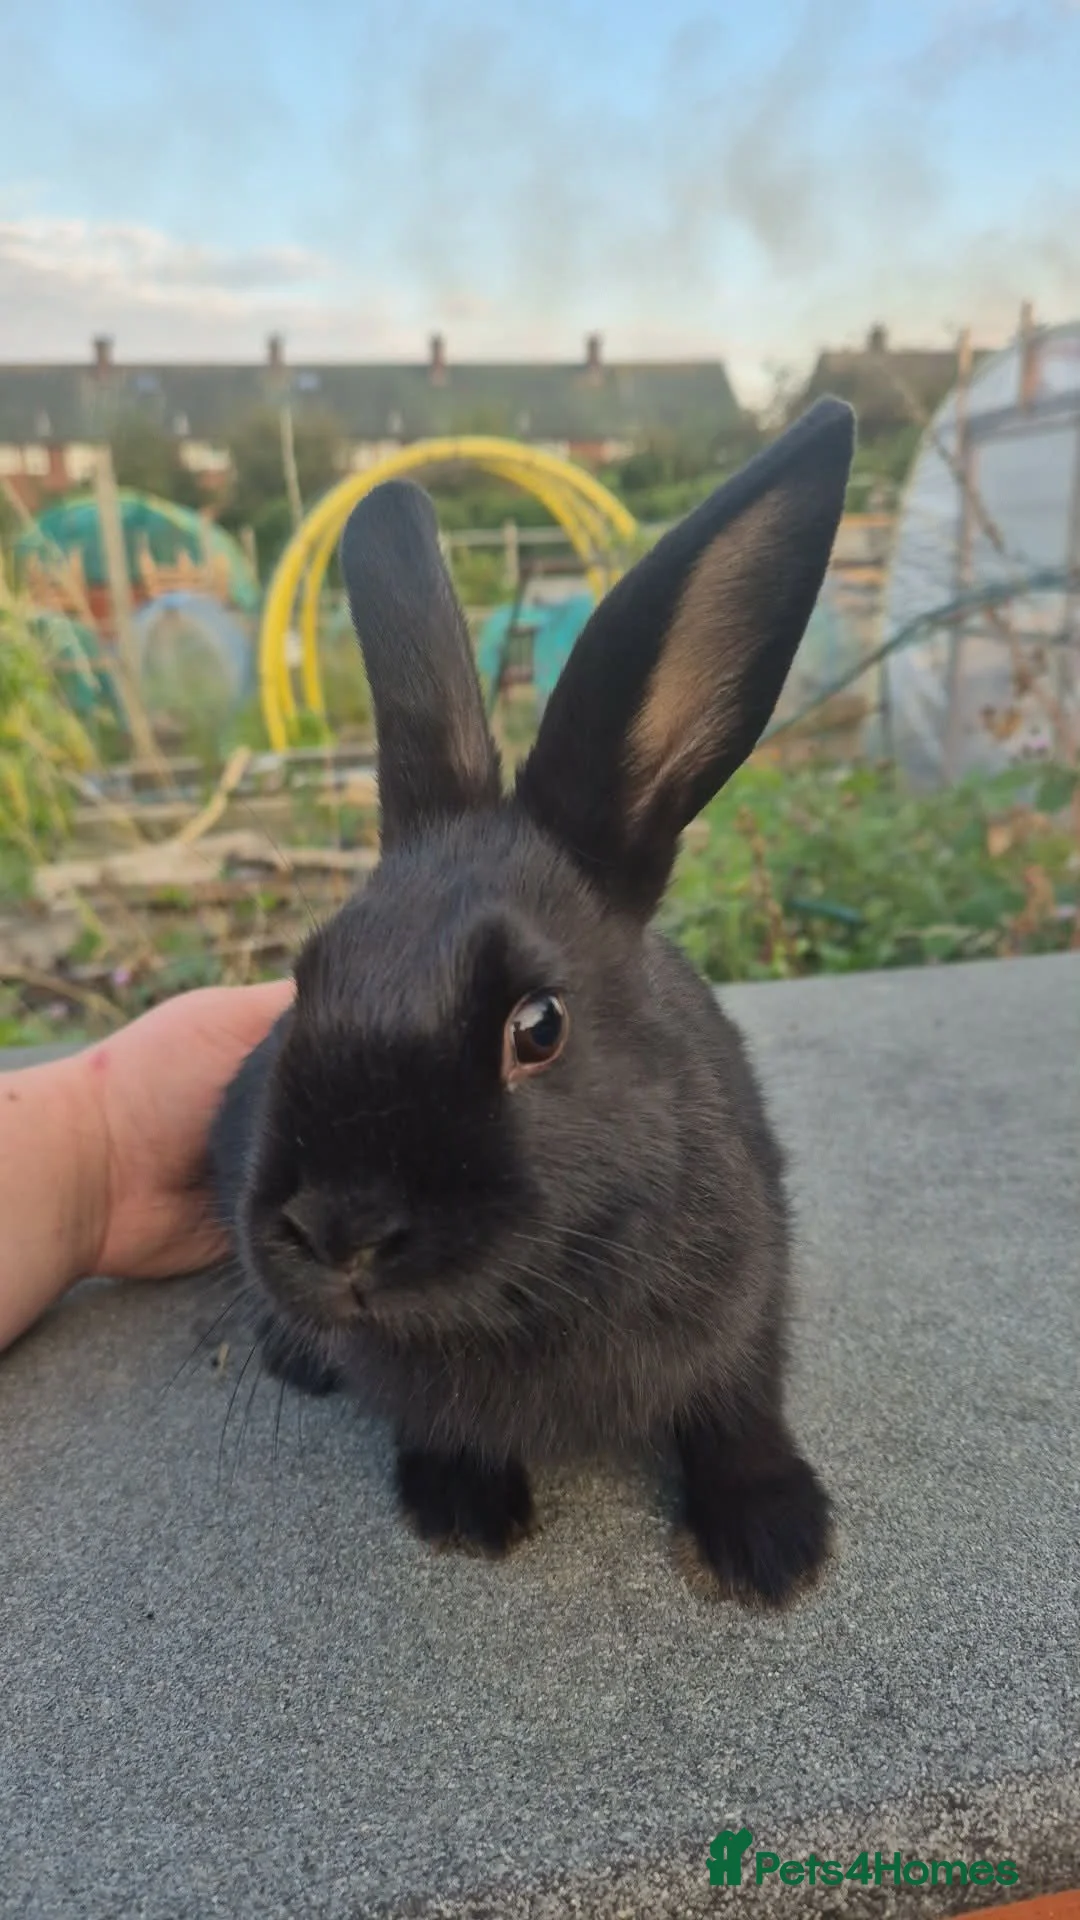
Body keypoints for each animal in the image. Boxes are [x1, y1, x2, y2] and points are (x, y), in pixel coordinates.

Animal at [209, 396, 855, 1604]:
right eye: (303, 981)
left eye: (538, 1026)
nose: (337, 1230)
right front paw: (464, 1510)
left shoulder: (750, 1298)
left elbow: (739, 1408)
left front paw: (775, 1545)